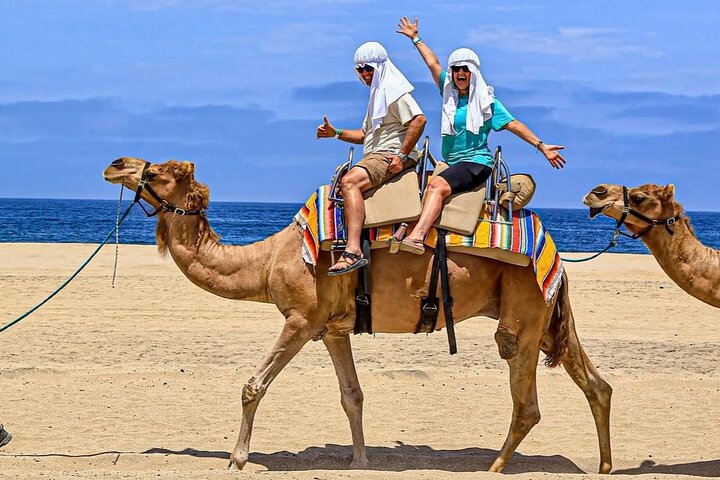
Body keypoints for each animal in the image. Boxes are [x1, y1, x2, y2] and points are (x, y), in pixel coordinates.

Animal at [103, 157, 613, 474]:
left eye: (161, 171)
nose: (116, 164)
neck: (268, 260)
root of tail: (552, 251)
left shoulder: (301, 319)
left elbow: (253, 385)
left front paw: (237, 458)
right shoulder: (333, 328)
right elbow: (353, 396)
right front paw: (360, 461)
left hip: (523, 310)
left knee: (526, 401)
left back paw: (494, 466)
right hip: (544, 316)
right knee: (595, 383)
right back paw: (604, 465)